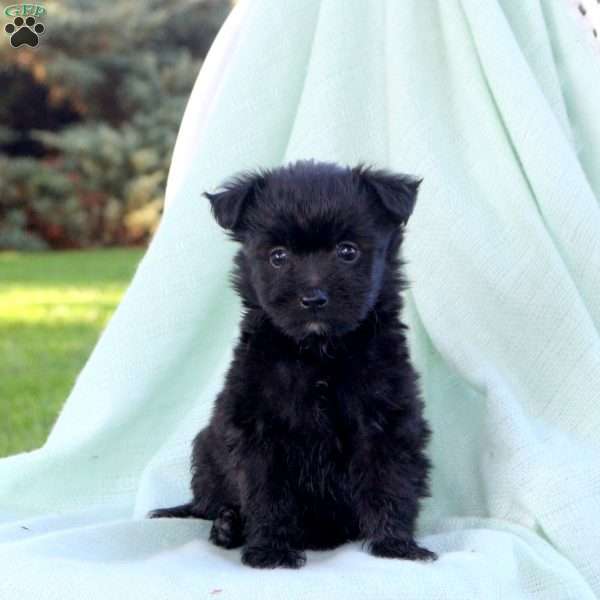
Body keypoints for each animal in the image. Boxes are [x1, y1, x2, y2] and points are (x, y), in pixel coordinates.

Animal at [150, 158, 436, 568]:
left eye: (347, 251)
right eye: (278, 256)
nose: (313, 298)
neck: (318, 353)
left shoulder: (386, 422)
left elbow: (391, 482)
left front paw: (397, 546)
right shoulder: (259, 429)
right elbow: (268, 493)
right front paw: (270, 552)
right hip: (206, 450)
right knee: (209, 504)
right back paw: (227, 526)